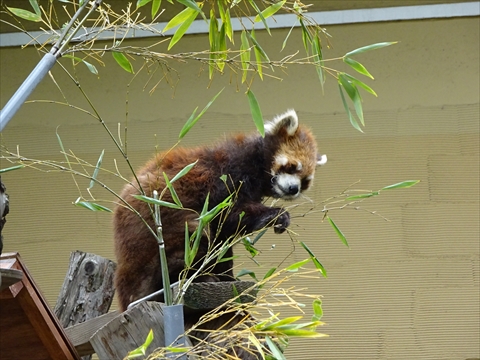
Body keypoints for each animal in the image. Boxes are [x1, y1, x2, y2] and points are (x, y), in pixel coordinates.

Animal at [112, 108, 326, 352]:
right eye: (292, 167)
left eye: (305, 180)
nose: (293, 189)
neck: (256, 163)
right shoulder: (226, 175)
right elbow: (231, 212)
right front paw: (276, 215)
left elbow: (227, 236)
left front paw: (229, 275)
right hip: (163, 231)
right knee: (189, 242)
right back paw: (198, 278)